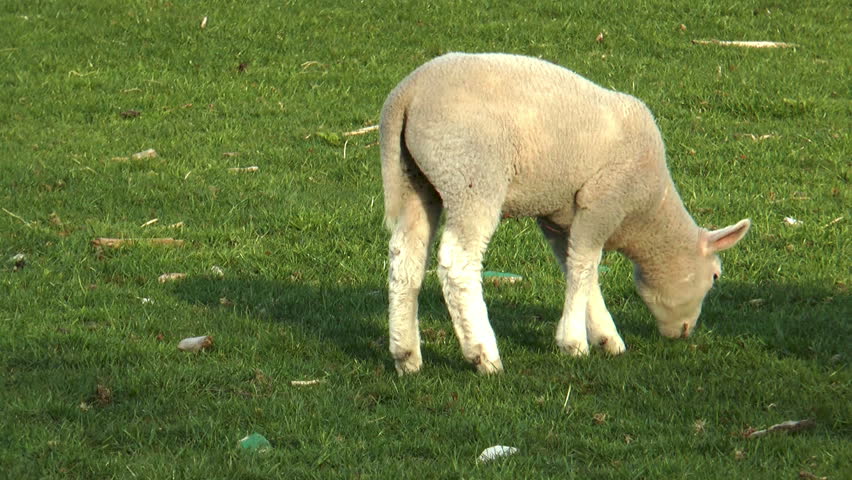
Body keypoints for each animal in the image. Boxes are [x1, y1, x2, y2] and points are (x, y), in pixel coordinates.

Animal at [380, 52, 750, 375]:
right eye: (715, 277)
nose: (686, 332)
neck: (648, 213)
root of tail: (408, 93)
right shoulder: (602, 201)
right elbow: (584, 267)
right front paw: (574, 342)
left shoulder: (559, 218)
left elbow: (579, 270)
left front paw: (605, 337)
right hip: (471, 177)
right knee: (458, 263)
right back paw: (483, 354)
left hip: (415, 179)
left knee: (405, 258)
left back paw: (406, 355)